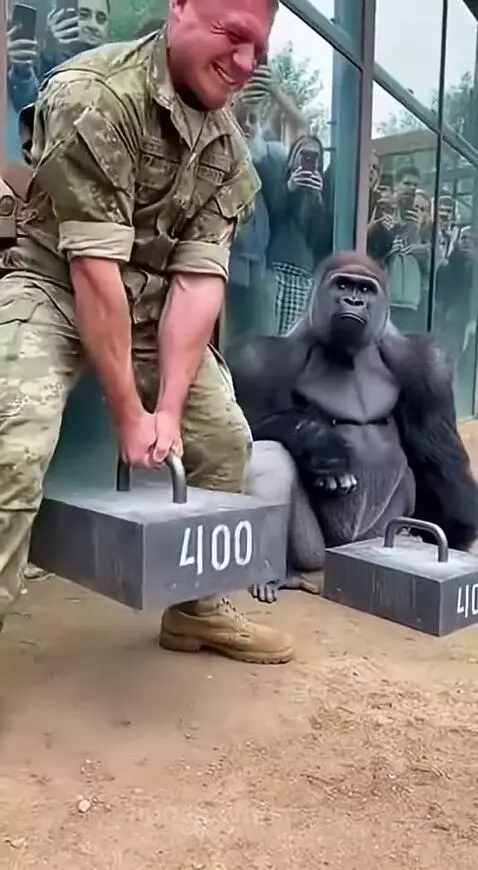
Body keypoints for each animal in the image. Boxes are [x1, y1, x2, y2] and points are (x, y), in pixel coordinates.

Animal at [228, 251, 478, 603]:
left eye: (366, 290)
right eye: (343, 285)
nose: (353, 301)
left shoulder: (427, 363)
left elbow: (436, 453)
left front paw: (455, 535)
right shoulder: (255, 359)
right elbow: (251, 424)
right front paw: (322, 446)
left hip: (375, 536)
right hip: (317, 552)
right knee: (269, 453)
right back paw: (279, 574)